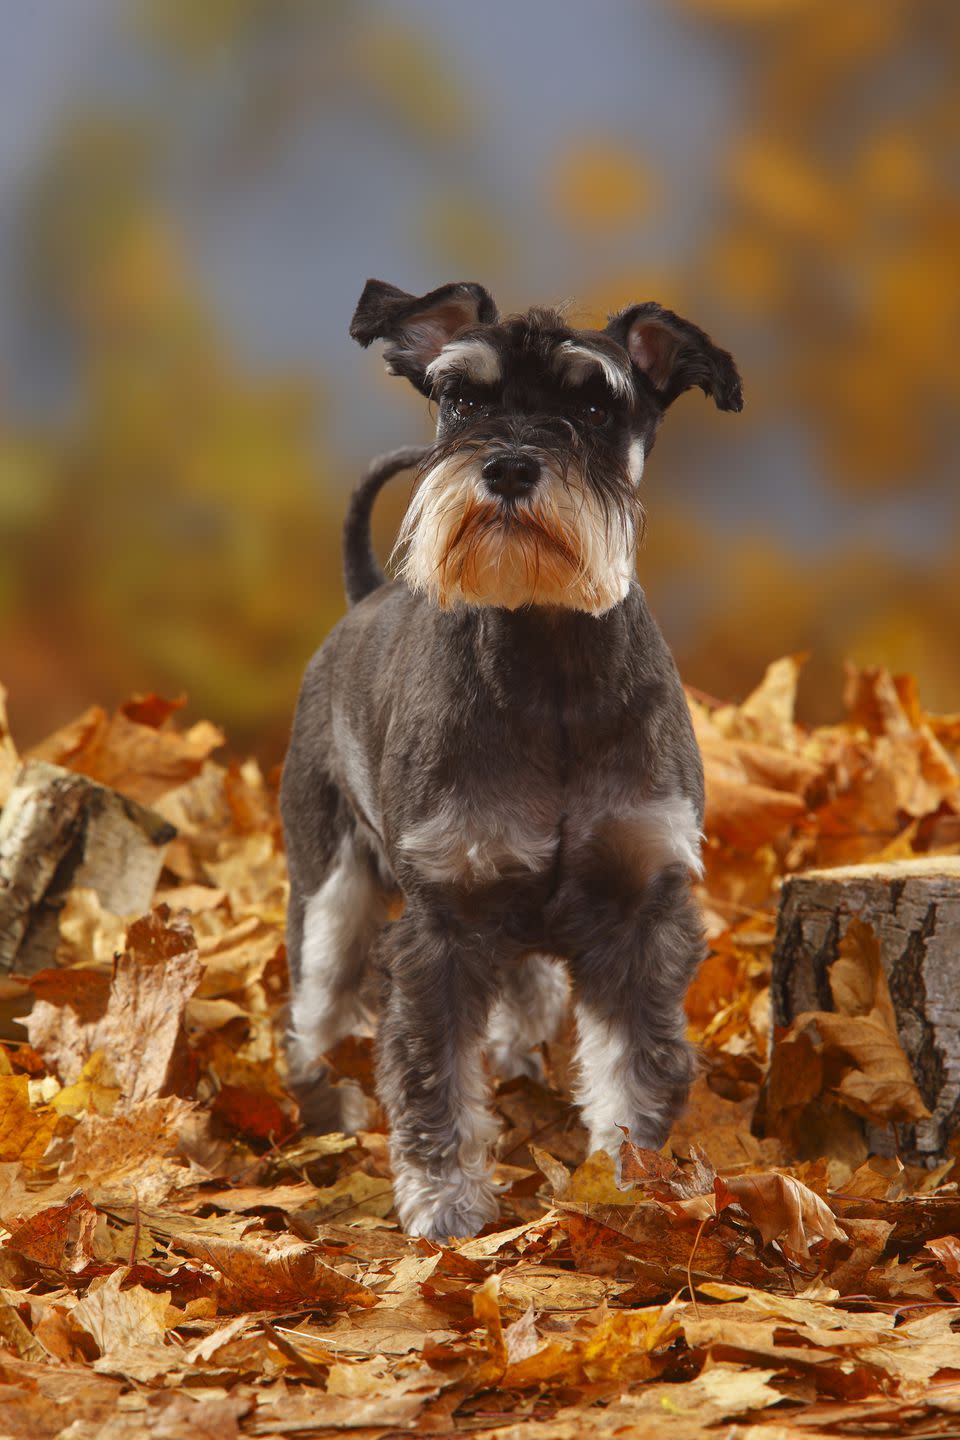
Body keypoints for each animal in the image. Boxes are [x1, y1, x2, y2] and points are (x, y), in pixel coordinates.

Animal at [277, 277, 742, 1238]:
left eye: (595, 406)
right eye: (462, 400)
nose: (510, 468)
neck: (551, 666)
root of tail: (364, 595)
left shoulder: (641, 912)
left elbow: (635, 1066)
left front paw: (632, 1180)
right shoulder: (442, 926)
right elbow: (434, 1076)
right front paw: (445, 1205)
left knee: (527, 994)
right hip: (330, 895)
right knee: (311, 1013)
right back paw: (322, 1111)